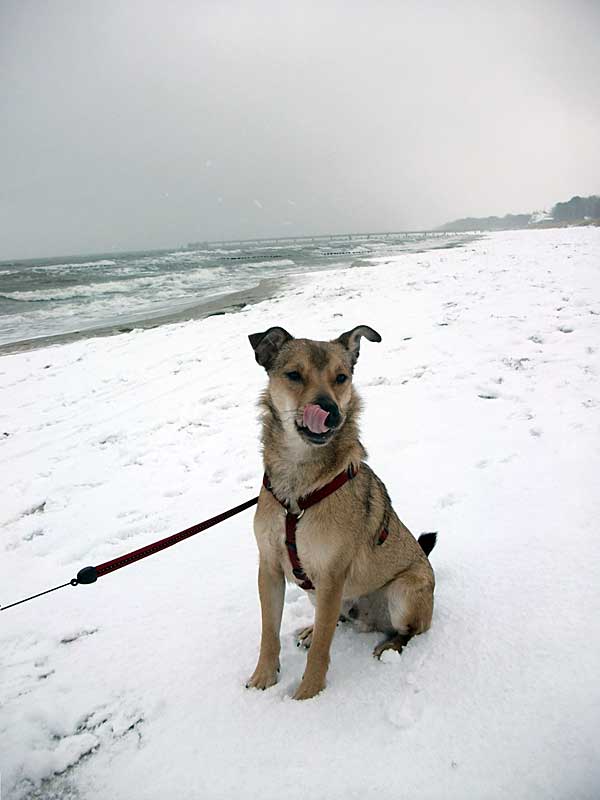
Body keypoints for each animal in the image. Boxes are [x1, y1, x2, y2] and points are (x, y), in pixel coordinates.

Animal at [244, 324, 436, 700]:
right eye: (294, 375)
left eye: (341, 377)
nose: (330, 411)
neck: (298, 486)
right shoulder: (269, 567)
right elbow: (268, 633)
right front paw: (263, 678)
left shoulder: (332, 576)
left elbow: (322, 648)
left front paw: (307, 696)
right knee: (335, 621)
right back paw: (310, 629)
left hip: (405, 591)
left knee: (407, 631)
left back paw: (390, 646)